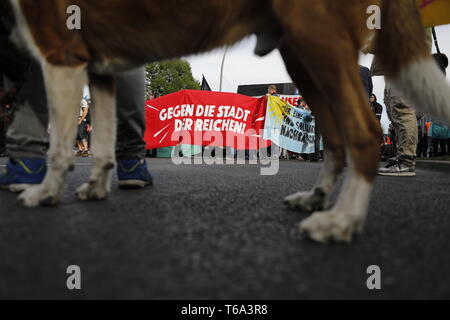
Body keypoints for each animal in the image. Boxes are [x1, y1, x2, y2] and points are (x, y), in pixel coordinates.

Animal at [3, 0, 450, 242]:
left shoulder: (60, 55)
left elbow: (61, 146)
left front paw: (45, 192)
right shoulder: (100, 70)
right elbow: (101, 144)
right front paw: (95, 187)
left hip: (319, 38)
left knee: (364, 131)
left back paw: (343, 220)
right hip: (302, 54)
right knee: (336, 141)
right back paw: (316, 199)